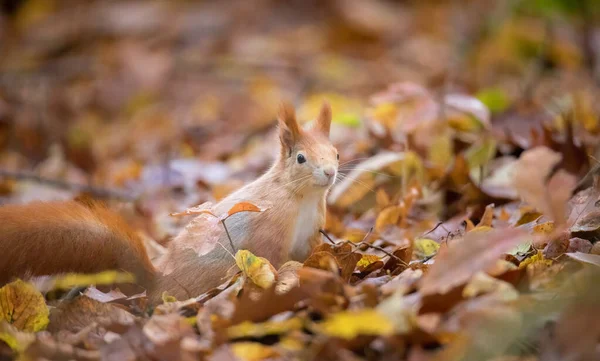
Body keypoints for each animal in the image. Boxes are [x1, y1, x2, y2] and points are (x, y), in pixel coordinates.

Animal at [0, 100, 338, 300]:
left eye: (335, 152)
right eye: (300, 158)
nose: (331, 172)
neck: (303, 198)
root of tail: (158, 283)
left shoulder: (311, 230)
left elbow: (311, 250)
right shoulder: (270, 226)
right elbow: (270, 257)